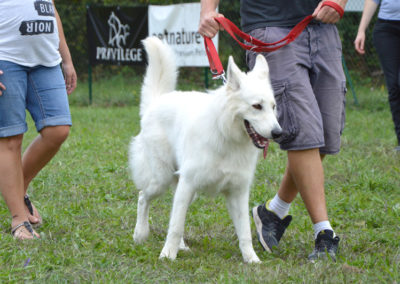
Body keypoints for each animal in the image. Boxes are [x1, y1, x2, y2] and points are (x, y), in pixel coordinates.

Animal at [129, 36, 282, 262]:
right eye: (256, 106)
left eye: (273, 107)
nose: (278, 133)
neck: (226, 135)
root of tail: (157, 101)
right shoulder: (188, 184)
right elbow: (175, 227)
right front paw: (167, 256)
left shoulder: (237, 192)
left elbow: (244, 232)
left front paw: (251, 259)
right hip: (161, 180)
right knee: (143, 197)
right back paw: (140, 234)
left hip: (183, 189)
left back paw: (181, 246)